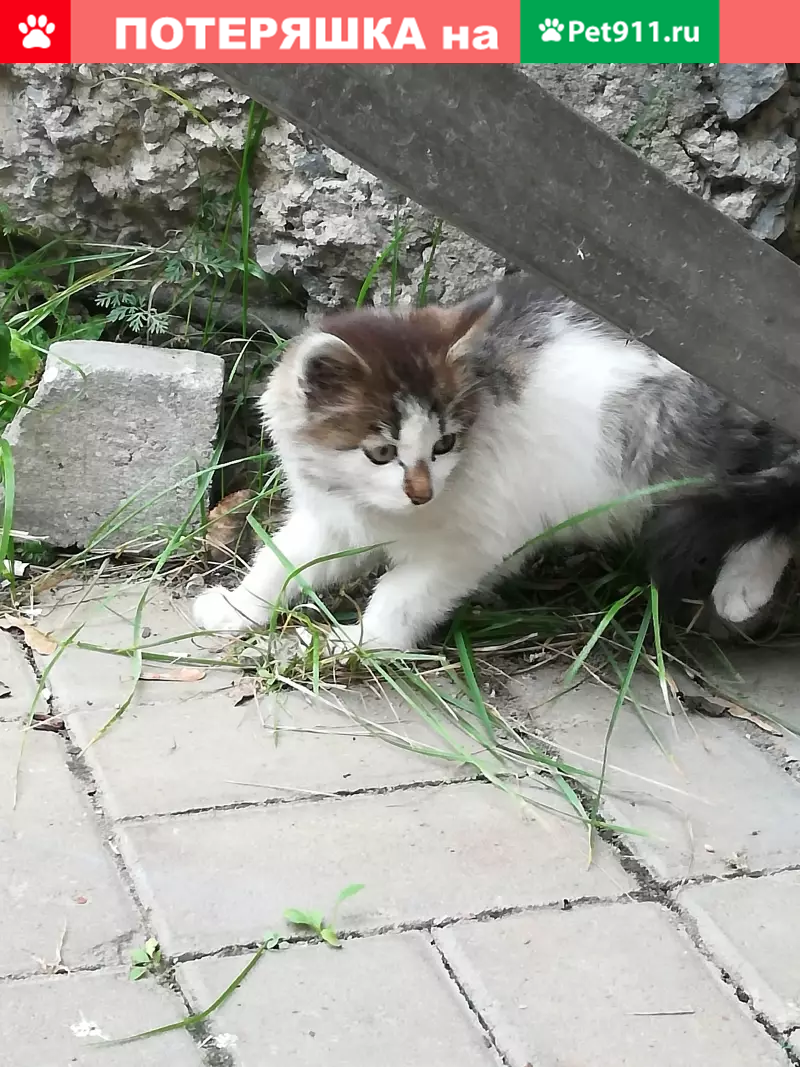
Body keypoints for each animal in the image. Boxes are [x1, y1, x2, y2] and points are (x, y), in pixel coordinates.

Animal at [192, 275, 799, 651]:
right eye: (382, 453)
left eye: (443, 445)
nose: (421, 494)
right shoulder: (332, 517)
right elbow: (281, 560)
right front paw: (240, 608)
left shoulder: (478, 540)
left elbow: (402, 594)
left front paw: (363, 643)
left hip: (665, 435)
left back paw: (742, 588)